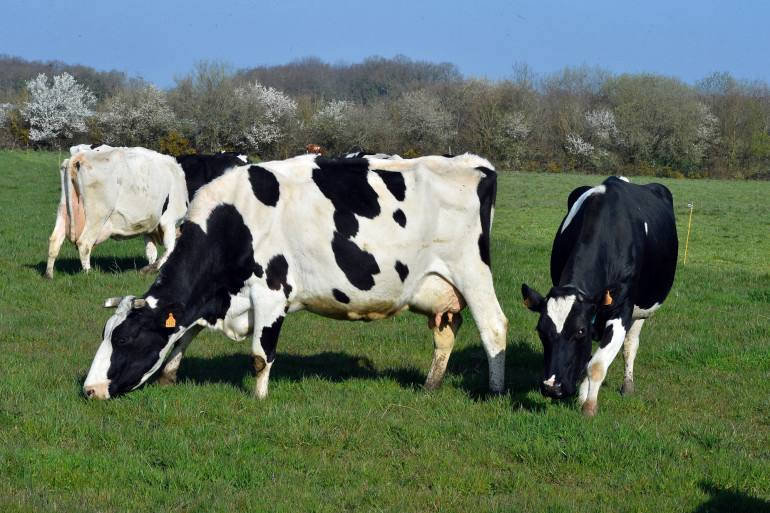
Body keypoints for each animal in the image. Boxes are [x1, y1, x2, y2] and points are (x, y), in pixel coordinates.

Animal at [45, 147, 188, 279]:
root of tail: (80, 156)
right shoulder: (169, 220)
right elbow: (170, 249)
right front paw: (151, 269)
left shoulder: (148, 227)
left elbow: (151, 252)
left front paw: (150, 267)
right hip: (98, 214)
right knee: (84, 243)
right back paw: (89, 274)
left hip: (64, 209)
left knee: (55, 240)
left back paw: (49, 275)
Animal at [83, 153, 508, 400]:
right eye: (105, 333)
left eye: (125, 338)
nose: (90, 389)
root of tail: (474, 163)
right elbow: (184, 334)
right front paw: (169, 376)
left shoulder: (270, 292)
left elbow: (260, 355)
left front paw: (259, 399)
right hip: (438, 287)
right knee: (446, 332)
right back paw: (430, 386)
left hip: (471, 270)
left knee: (494, 327)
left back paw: (495, 391)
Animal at [521, 176, 678, 416]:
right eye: (540, 331)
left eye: (579, 331)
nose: (552, 388)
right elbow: (587, 360)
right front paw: (581, 398)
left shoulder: (622, 309)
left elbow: (596, 365)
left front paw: (589, 406)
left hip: (642, 310)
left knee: (631, 345)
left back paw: (627, 385)